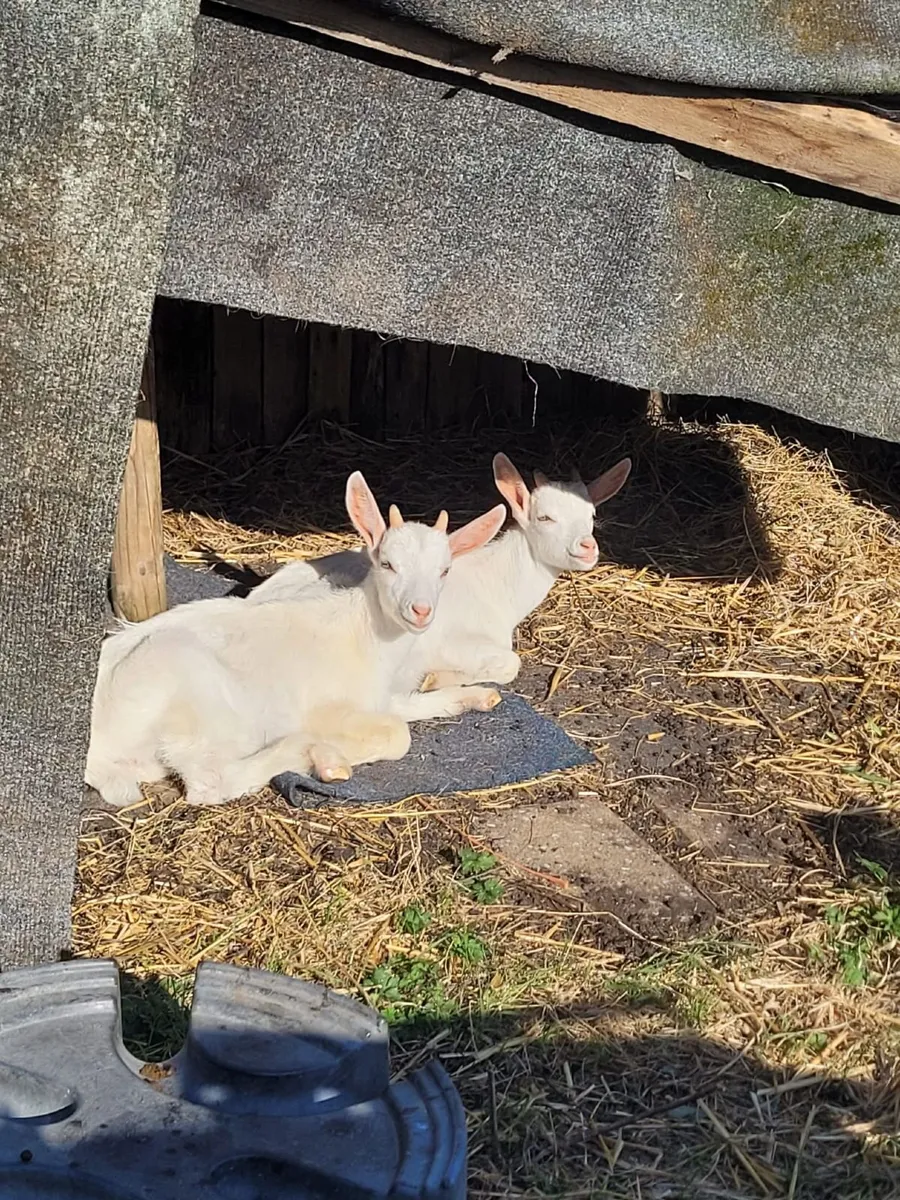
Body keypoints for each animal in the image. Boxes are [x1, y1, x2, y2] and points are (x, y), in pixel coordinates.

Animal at [85, 472, 506, 808]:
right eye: (387, 564)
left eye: (444, 571)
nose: (420, 610)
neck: (366, 634)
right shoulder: (331, 705)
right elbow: (396, 733)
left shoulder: (377, 696)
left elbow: (409, 704)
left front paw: (477, 696)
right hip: (192, 698)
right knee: (211, 781)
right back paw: (321, 756)